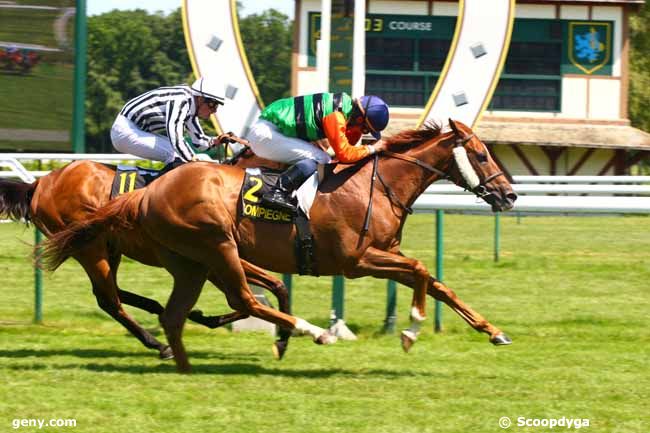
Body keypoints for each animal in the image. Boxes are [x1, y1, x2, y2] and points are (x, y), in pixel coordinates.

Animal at [0, 155, 290, 358]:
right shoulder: (217, 257)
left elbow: (270, 287)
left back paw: (157, 310)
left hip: (109, 248)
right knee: (109, 300)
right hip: (89, 248)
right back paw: (160, 345)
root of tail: (40, 182)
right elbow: (246, 298)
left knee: (111, 292)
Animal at [41, 120, 516, 372]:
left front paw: (494, 331)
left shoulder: (384, 255)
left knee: (175, 312)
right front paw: (410, 330)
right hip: (212, 247)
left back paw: (185, 362)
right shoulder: (358, 260)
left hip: (191, 261)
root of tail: (144, 194)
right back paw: (312, 331)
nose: (509, 195)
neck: (375, 185)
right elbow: (420, 270)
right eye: (481, 154)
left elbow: (436, 282)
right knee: (241, 298)